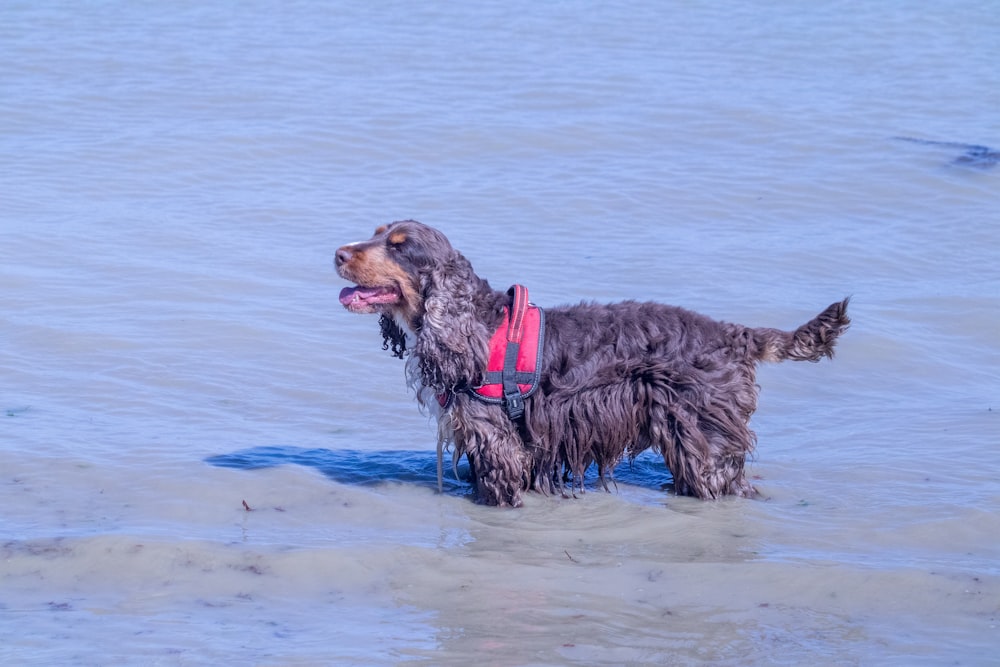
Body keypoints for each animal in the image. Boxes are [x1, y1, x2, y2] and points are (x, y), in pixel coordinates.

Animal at [336, 219, 852, 506]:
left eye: (399, 245)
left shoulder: (496, 442)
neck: (471, 326)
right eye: (377, 233)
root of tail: (732, 334)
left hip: (705, 441)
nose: (338, 252)